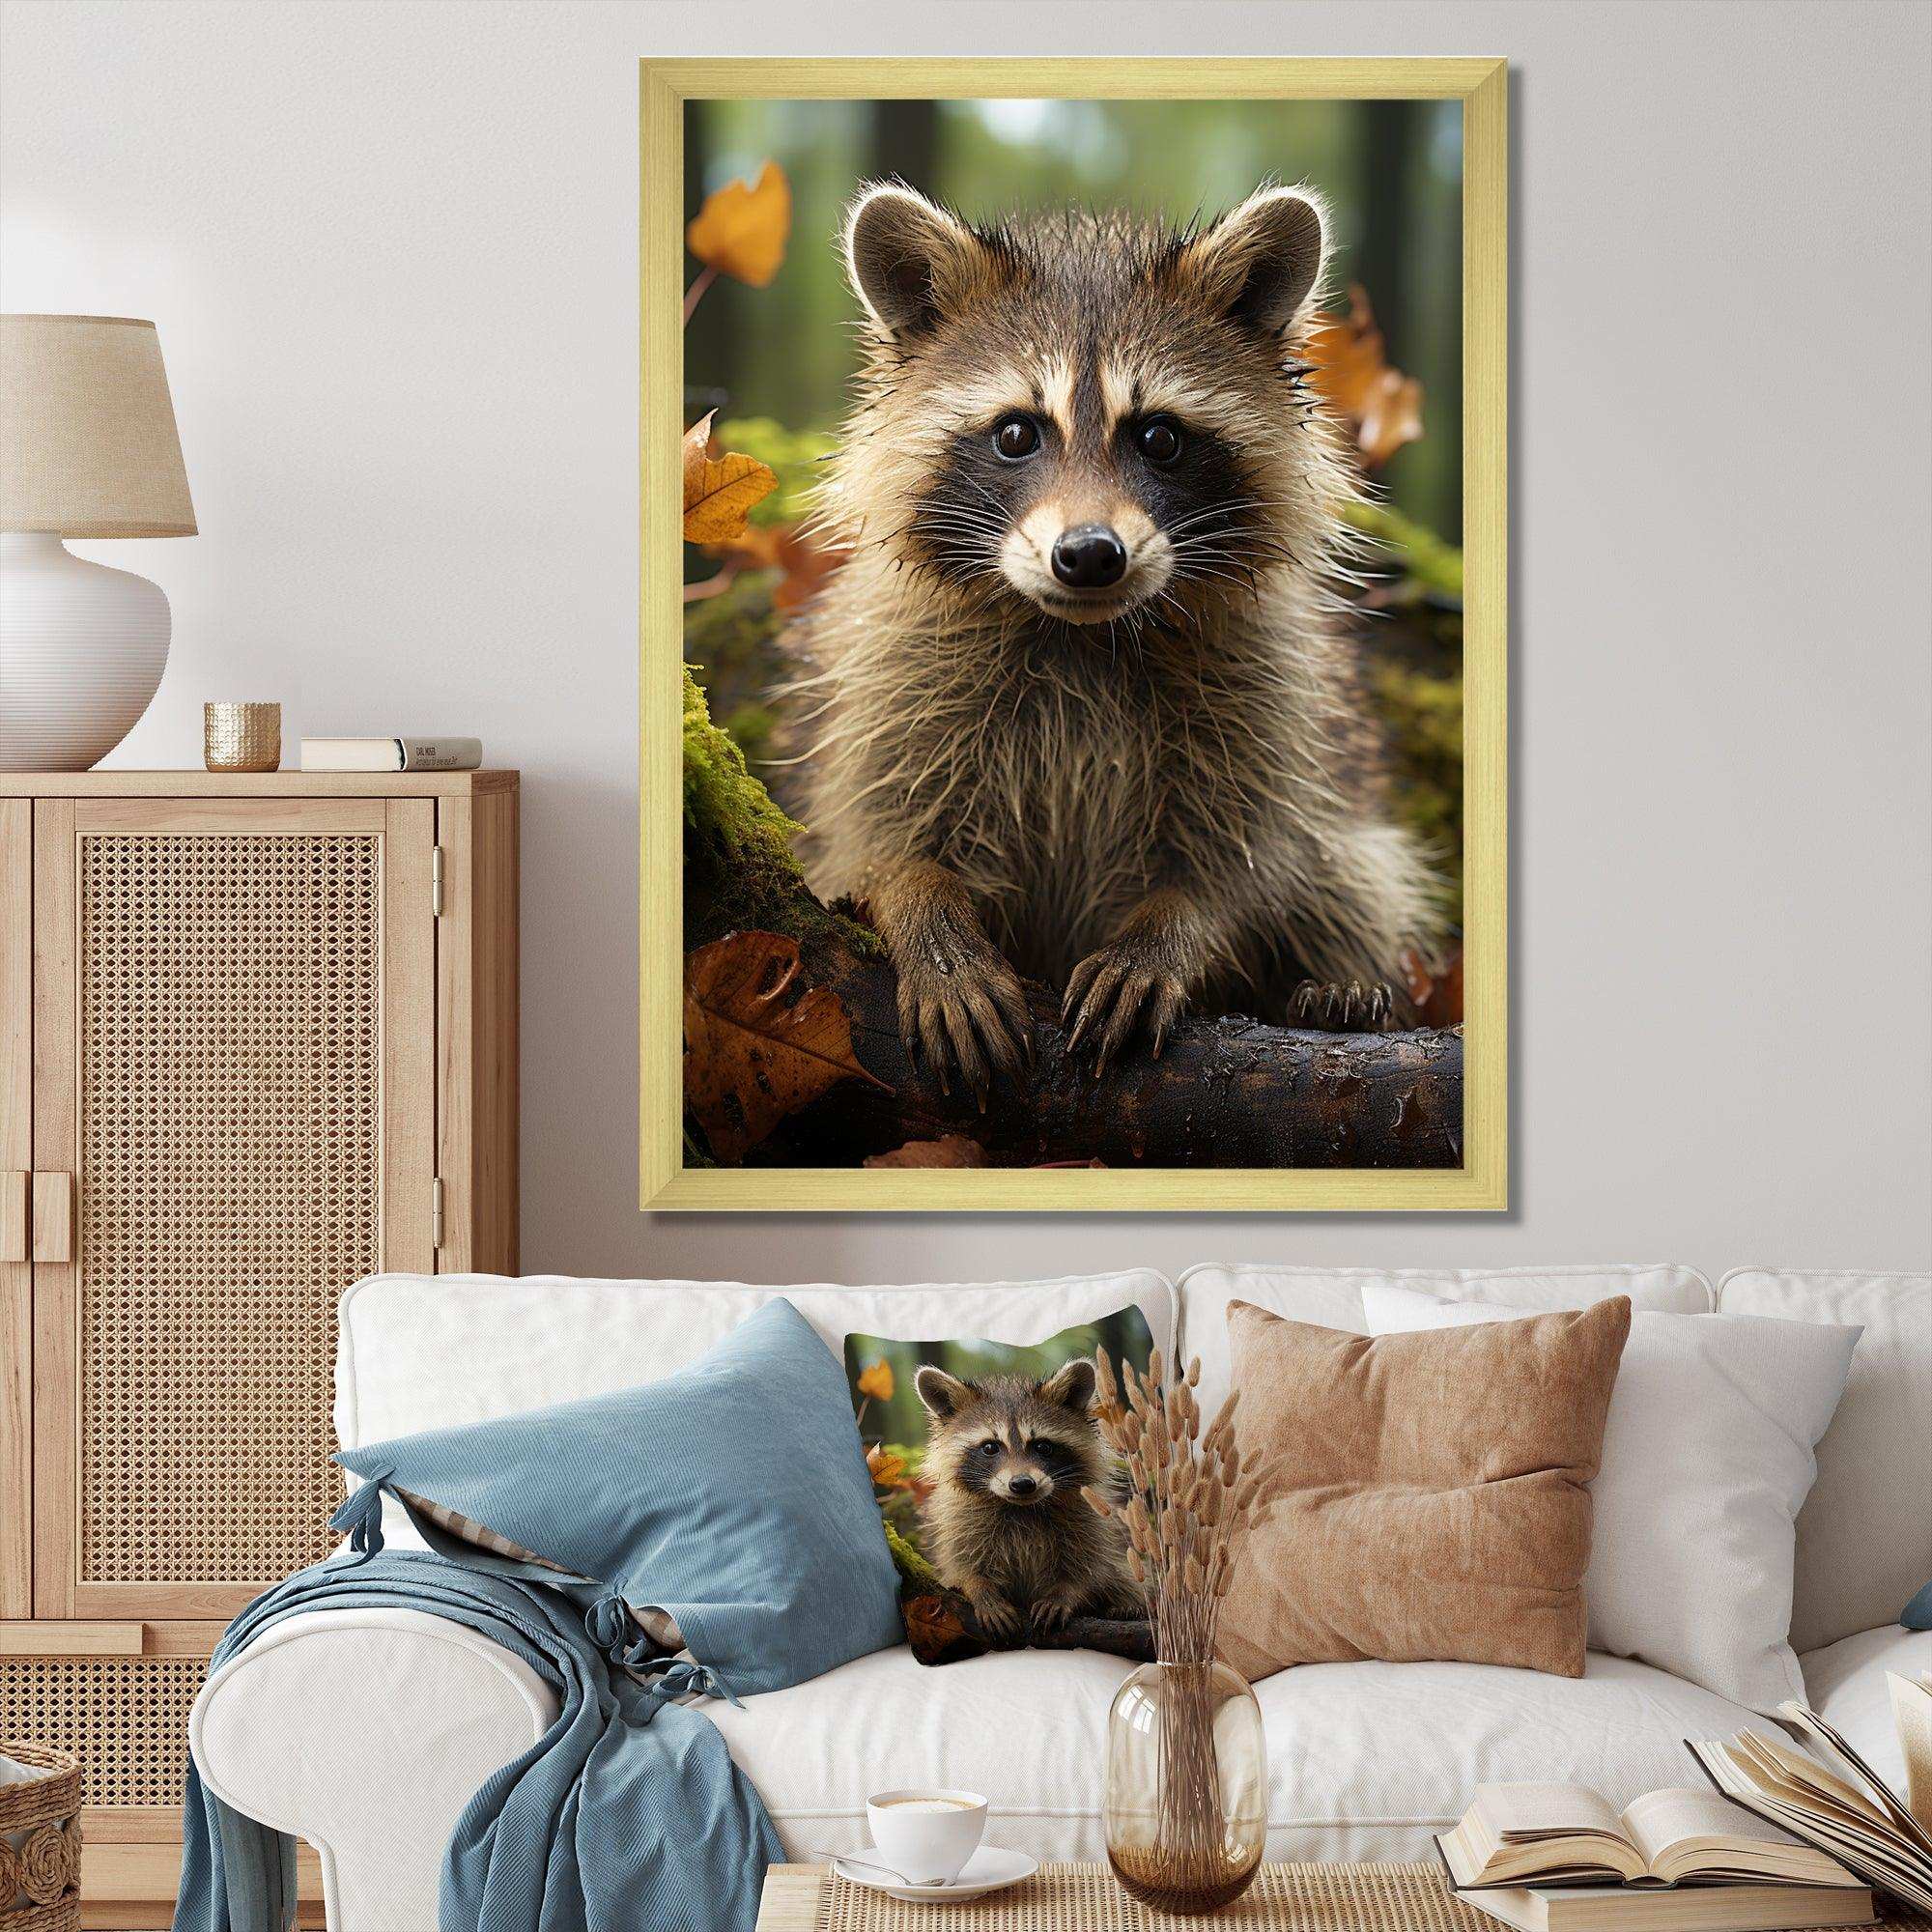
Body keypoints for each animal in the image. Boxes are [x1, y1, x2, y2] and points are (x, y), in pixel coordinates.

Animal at [776, 179, 1446, 1098]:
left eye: (1159, 436)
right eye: (1016, 433)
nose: (1089, 555)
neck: (1078, 636)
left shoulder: (1273, 693)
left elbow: (1250, 859)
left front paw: (1171, 931)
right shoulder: (889, 674)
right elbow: (870, 832)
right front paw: (924, 911)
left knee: (1354, 880)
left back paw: (1336, 993)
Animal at [912, 1357, 1138, 1643]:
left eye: (1042, 1446)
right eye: (990, 1447)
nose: (1022, 1484)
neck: (1021, 1508)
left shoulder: (1089, 1519)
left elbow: (1091, 1566)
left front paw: (1066, 1592)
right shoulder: (960, 1520)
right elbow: (961, 1564)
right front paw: (980, 1590)